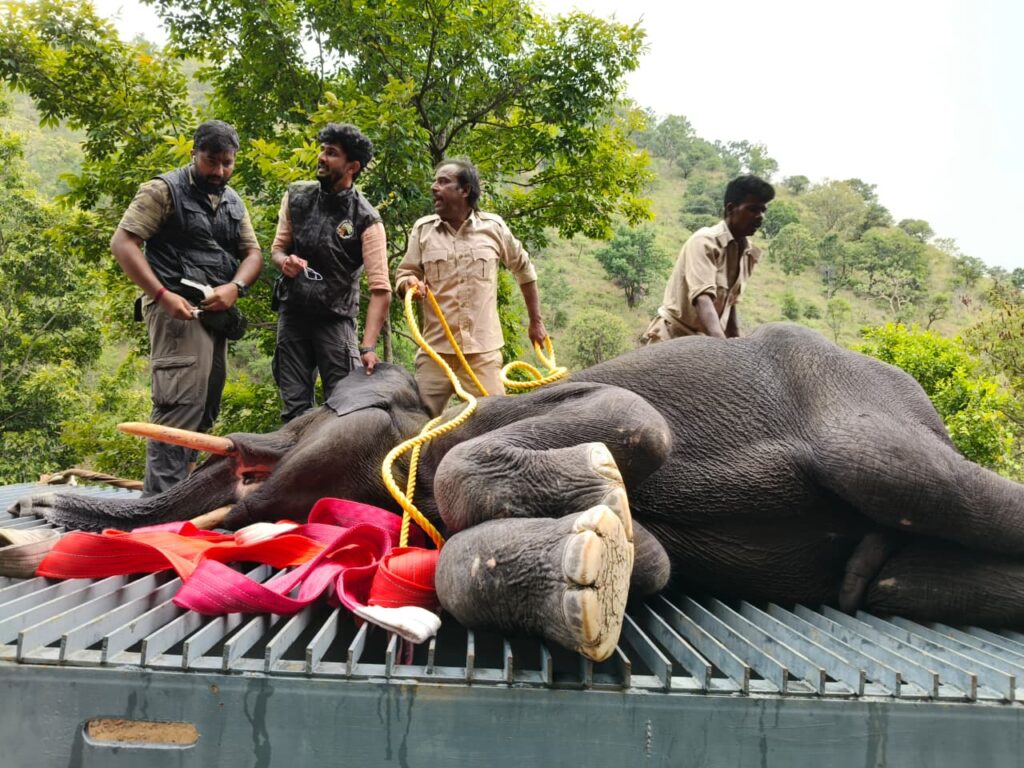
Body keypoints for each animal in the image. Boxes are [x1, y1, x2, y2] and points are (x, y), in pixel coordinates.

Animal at [11, 323, 1024, 661]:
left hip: (866, 419)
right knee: (892, 579)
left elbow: (627, 423)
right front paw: (599, 557)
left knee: (917, 481)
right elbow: (655, 562)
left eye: (302, 427)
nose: (28, 518)